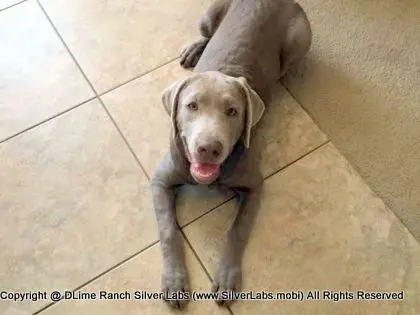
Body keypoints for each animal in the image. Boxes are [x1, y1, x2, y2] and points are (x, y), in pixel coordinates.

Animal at [149, 0, 310, 310]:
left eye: (233, 111)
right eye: (192, 105)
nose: (209, 148)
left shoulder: (255, 185)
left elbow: (237, 229)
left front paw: (226, 277)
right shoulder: (160, 180)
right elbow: (168, 229)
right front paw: (174, 280)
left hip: (300, 39)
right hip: (209, 12)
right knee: (207, 34)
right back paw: (194, 50)